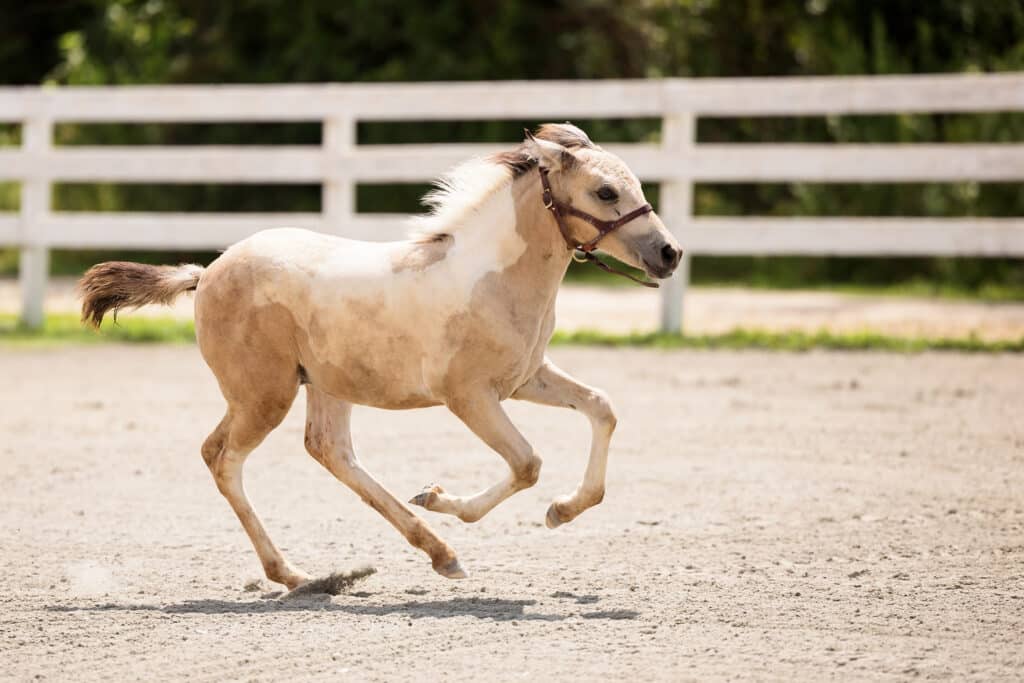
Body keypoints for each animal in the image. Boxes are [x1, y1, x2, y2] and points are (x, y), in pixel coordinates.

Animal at [79, 124, 684, 589]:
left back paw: (428, 554)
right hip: (265, 396)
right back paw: (298, 573)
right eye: (605, 192)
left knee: (322, 451)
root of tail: (205, 274)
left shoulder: (526, 379)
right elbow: (526, 463)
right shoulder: (469, 397)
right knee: (228, 460)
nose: (670, 253)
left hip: (314, 386)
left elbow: (602, 408)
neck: (492, 279)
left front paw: (560, 511)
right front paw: (442, 498)